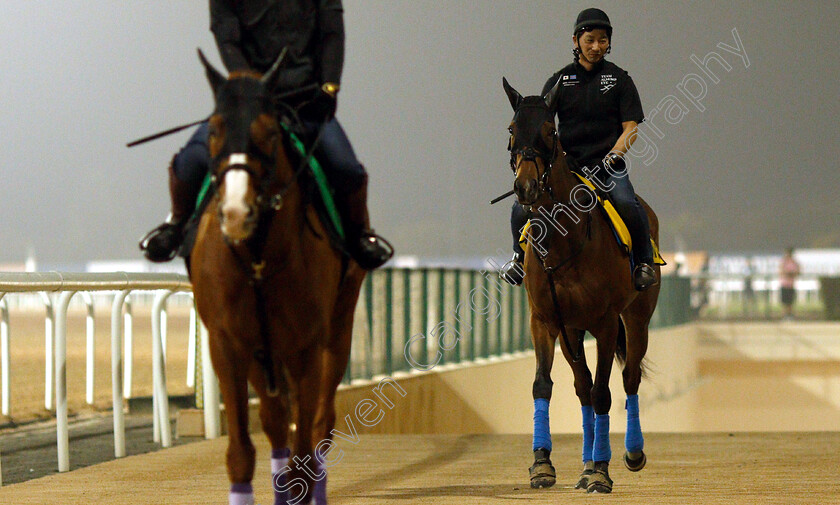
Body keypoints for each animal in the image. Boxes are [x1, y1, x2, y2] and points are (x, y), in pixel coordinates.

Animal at [192, 50, 366, 504]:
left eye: (270, 133)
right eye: (214, 131)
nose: (236, 212)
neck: (258, 259)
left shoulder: (306, 346)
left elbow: (306, 446)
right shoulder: (229, 343)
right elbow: (242, 452)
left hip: (337, 327)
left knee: (322, 422)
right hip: (263, 353)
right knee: (275, 420)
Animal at [502, 79, 660, 492]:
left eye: (549, 130)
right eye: (511, 129)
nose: (525, 187)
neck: (563, 238)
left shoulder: (605, 323)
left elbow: (604, 393)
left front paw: (602, 471)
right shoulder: (545, 320)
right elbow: (544, 385)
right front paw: (542, 463)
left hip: (636, 319)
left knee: (629, 377)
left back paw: (630, 454)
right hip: (571, 329)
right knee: (581, 385)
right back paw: (587, 463)